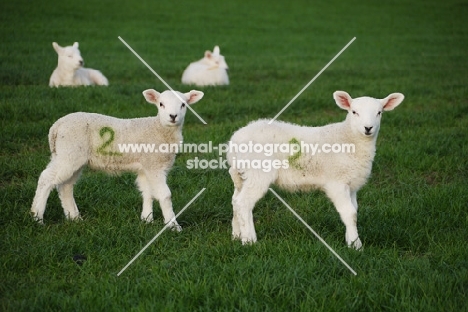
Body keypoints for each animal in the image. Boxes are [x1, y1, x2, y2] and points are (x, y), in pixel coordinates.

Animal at [30, 88, 204, 229]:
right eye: (161, 104)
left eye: (183, 105)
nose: (173, 116)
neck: (159, 128)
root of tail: (56, 126)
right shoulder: (154, 165)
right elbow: (164, 195)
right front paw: (173, 226)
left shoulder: (146, 166)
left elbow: (147, 192)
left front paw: (147, 220)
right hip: (69, 153)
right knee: (46, 178)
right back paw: (37, 217)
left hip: (69, 156)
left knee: (65, 186)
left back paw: (75, 218)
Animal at [226, 89, 402, 249]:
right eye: (354, 112)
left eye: (379, 112)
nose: (368, 128)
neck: (349, 139)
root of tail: (234, 141)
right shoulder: (336, 183)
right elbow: (349, 213)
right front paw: (355, 245)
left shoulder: (351, 185)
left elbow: (354, 212)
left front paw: (350, 239)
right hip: (258, 172)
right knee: (243, 203)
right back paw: (249, 240)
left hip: (242, 174)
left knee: (235, 200)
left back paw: (236, 236)